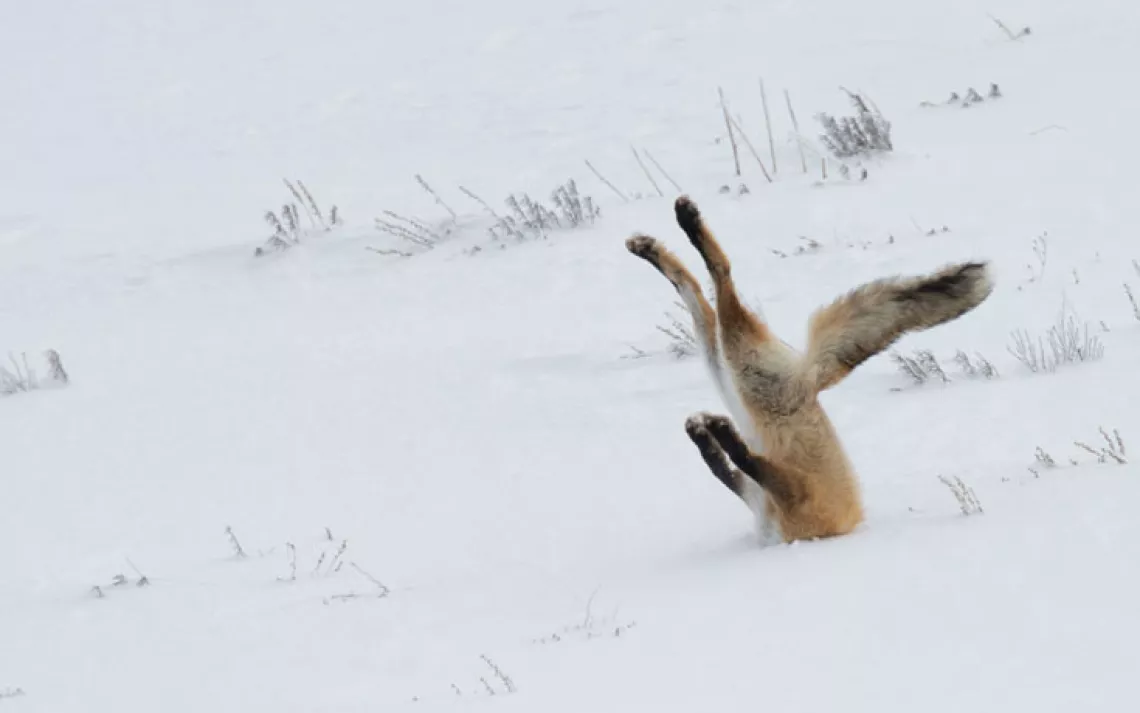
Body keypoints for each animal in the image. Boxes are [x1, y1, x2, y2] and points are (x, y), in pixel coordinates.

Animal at [626, 196, 994, 544]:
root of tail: (810, 379)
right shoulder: (767, 495)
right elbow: (723, 465)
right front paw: (706, 433)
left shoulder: (792, 495)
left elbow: (739, 461)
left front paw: (715, 432)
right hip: (728, 367)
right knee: (695, 287)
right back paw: (653, 245)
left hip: (739, 365)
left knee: (719, 276)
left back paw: (684, 224)